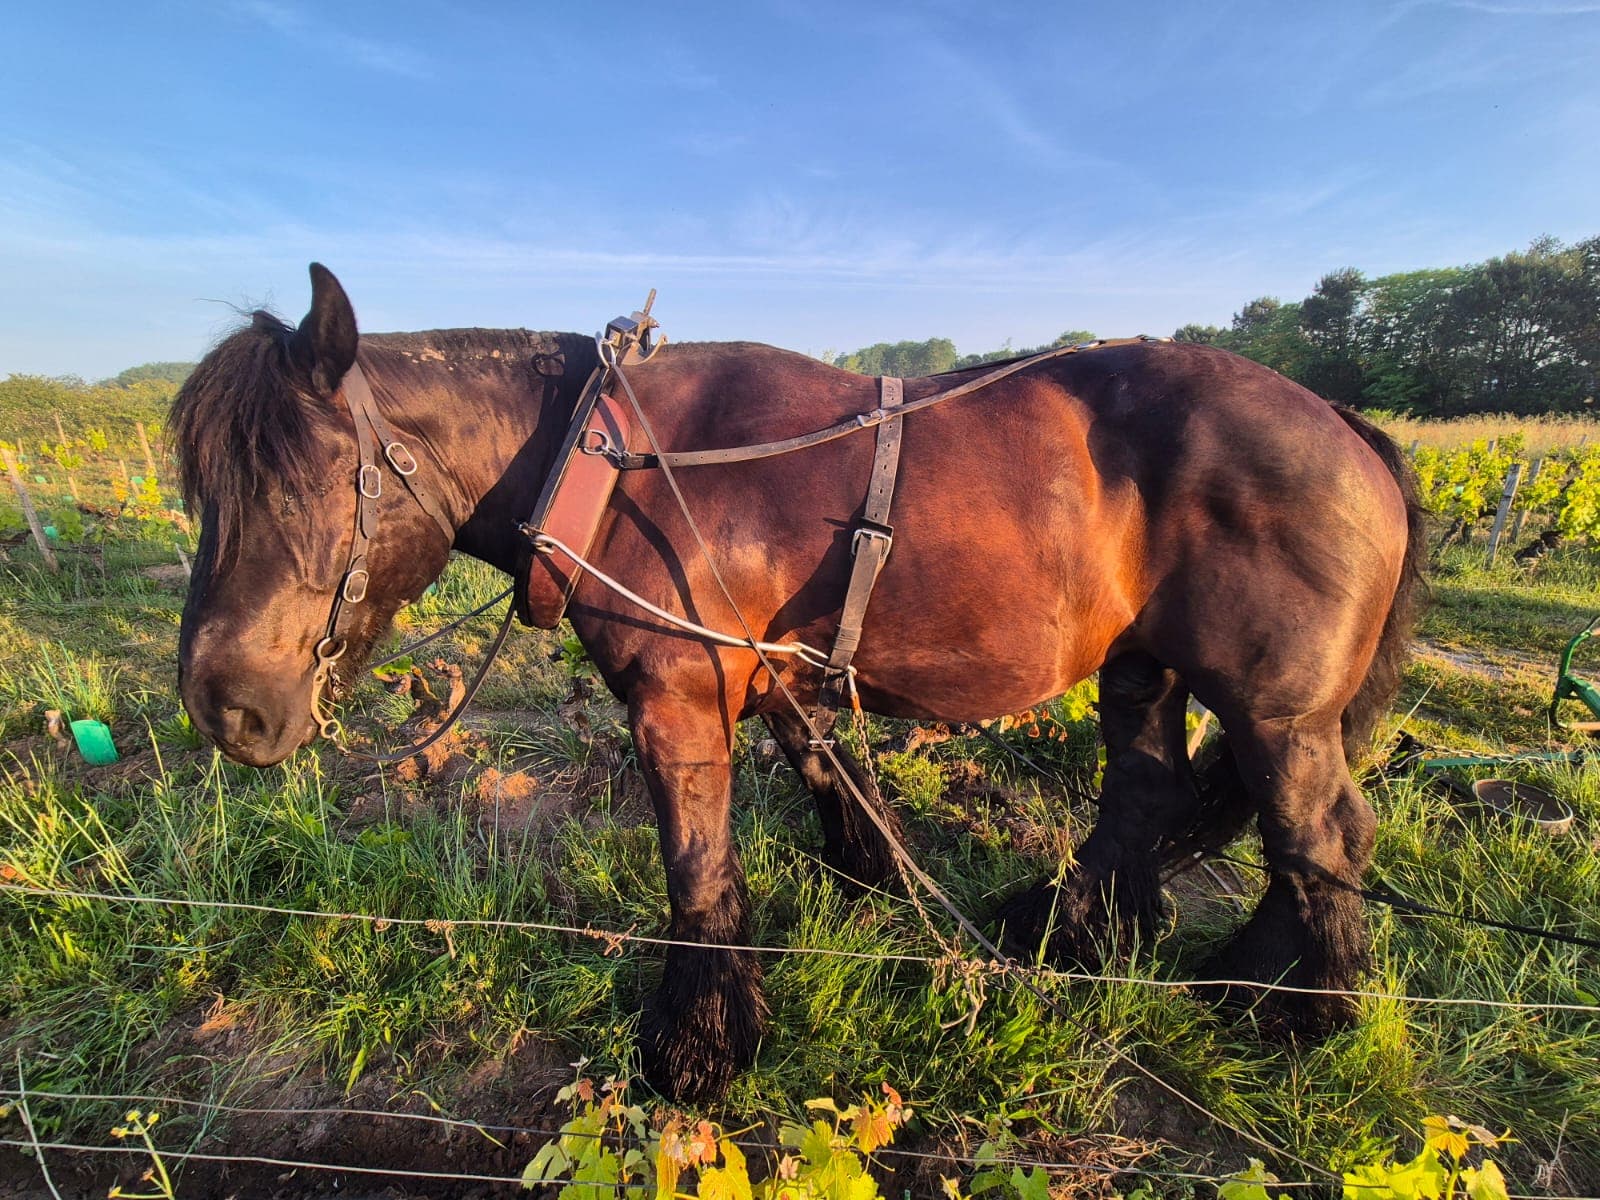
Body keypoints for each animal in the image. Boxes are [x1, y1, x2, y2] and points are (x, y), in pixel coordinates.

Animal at [172, 264, 1426, 1102]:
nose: (223, 705)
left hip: (1275, 706)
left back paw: (1293, 1005)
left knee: (1321, 835)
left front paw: (699, 1038)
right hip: (1143, 668)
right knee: (1151, 795)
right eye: (204, 489)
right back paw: (1085, 931)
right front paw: (864, 871)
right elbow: (825, 767)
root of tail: (1346, 425)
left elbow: (697, 864)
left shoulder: (676, 695)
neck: (614, 462)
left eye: (304, 481)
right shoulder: (766, 669)